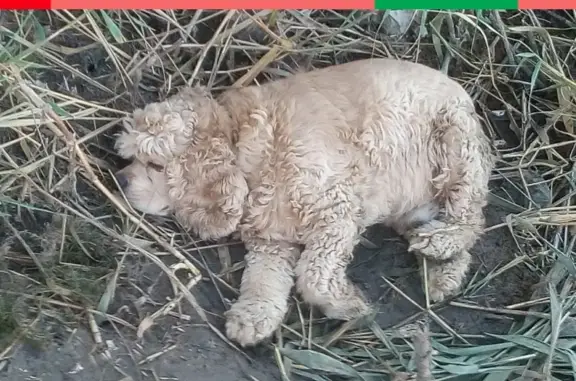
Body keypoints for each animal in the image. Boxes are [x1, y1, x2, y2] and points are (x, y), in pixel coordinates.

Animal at [113, 58, 496, 346]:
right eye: (129, 157)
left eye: (154, 164)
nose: (119, 180)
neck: (251, 151)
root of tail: (469, 99)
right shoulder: (271, 241)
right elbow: (263, 279)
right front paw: (252, 317)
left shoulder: (336, 212)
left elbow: (314, 274)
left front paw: (348, 304)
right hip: (414, 208)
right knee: (460, 240)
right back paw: (442, 274)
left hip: (456, 146)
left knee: (471, 218)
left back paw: (439, 241)